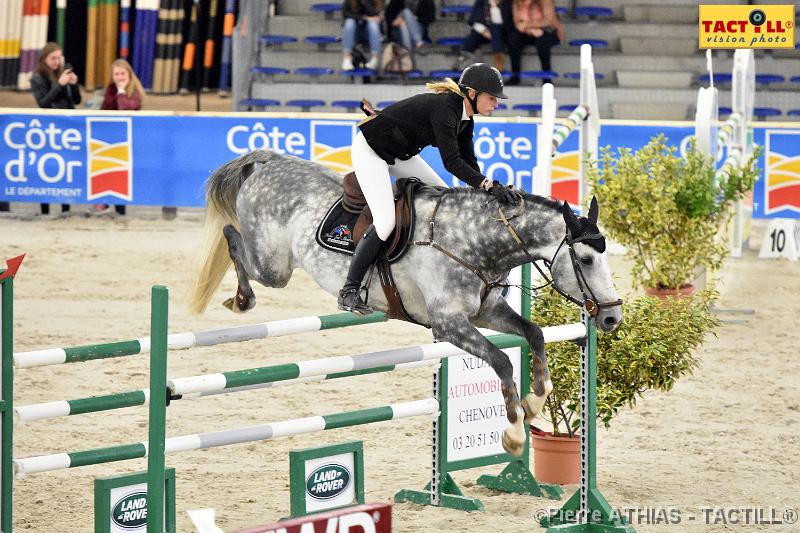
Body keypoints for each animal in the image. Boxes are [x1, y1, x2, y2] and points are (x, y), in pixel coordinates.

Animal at [189, 149, 624, 454]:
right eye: (586, 260)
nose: (612, 318)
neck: (475, 242)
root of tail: (268, 161)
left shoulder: (486, 312)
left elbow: (534, 333)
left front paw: (535, 400)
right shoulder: (448, 324)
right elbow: (501, 360)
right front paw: (515, 434)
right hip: (274, 267)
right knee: (233, 238)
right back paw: (241, 298)